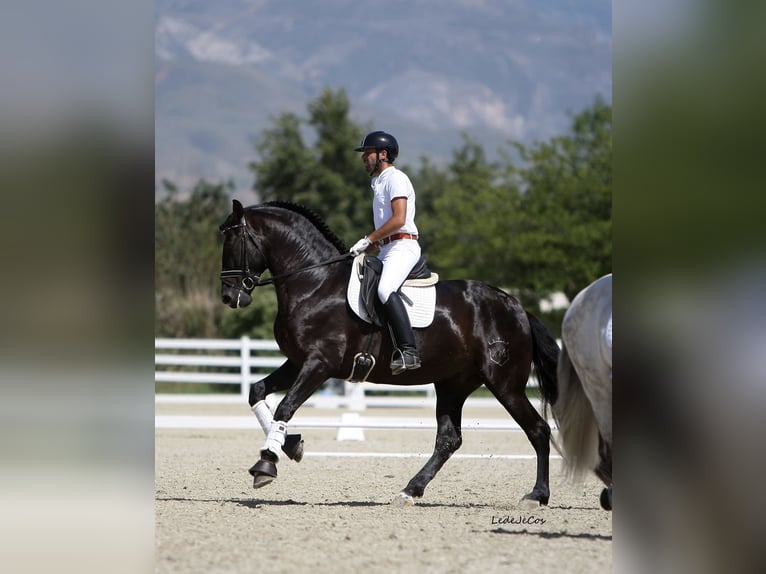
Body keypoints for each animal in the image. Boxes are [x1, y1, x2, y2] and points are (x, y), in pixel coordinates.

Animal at [219, 199, 561, 507]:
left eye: (232, 240)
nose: (228, 297)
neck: (315, 283)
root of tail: (516, 306)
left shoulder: (319, 363)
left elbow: (285, 407)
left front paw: (266, 463)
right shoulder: (298, 361)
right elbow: (257, 392)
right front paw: (290, 445)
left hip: (504, 384)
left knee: (538, 430)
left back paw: (537, 496)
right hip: (452, 384)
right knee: (449, 440)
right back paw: (410, 491)